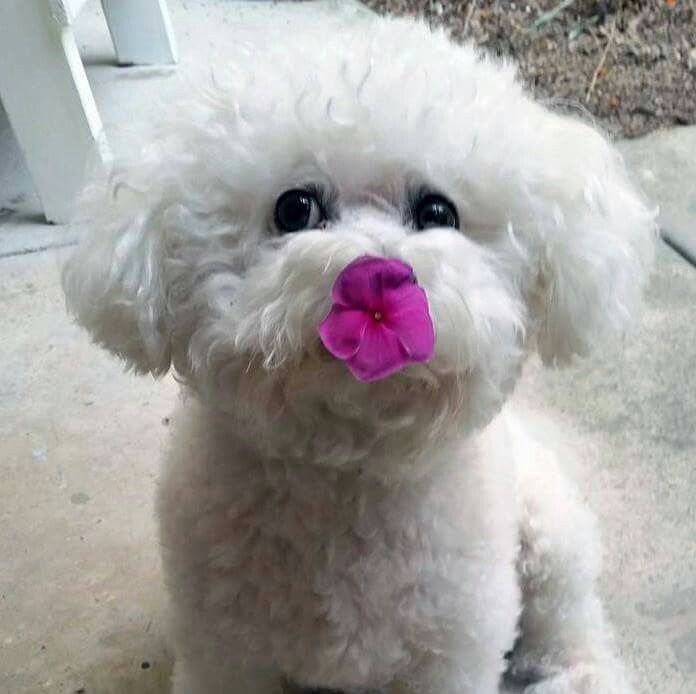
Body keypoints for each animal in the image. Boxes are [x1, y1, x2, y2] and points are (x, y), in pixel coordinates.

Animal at [62, 12, 656, 694]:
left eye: (437, 210)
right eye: (294, 207)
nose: (376, 276)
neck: (347, 475)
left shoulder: (450, 654)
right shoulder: (226, 652)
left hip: (550, 536)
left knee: (569, 618)